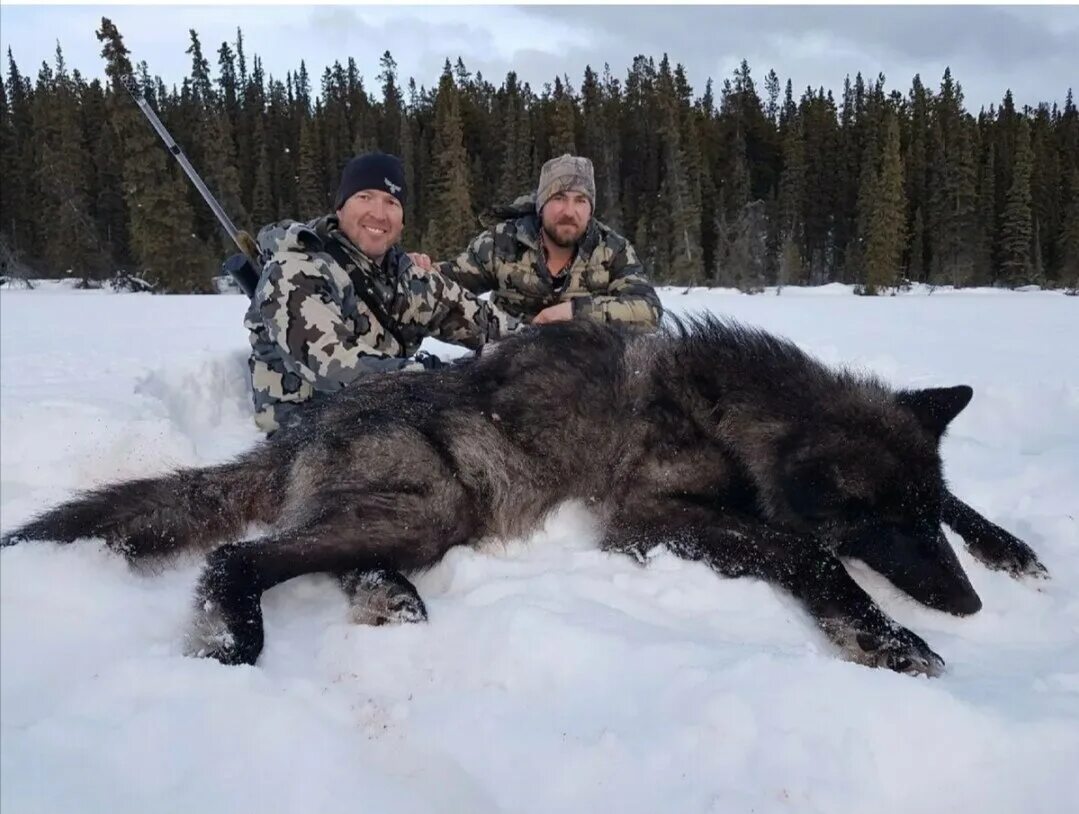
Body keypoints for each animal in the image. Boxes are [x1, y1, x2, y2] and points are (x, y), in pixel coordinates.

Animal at [0, 317, 1044, 673]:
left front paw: (1011, 548)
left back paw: (386, 597)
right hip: (431, 505)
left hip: (417, 513)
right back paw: (238, 639)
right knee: (239, 555)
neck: (728, 409)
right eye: (886, 523)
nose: (965, 606)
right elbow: (806, 552)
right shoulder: (647, 522)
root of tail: (302, 427)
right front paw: (888, 638)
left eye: (921, 514)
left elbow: (961, 507)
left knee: (324, 558)